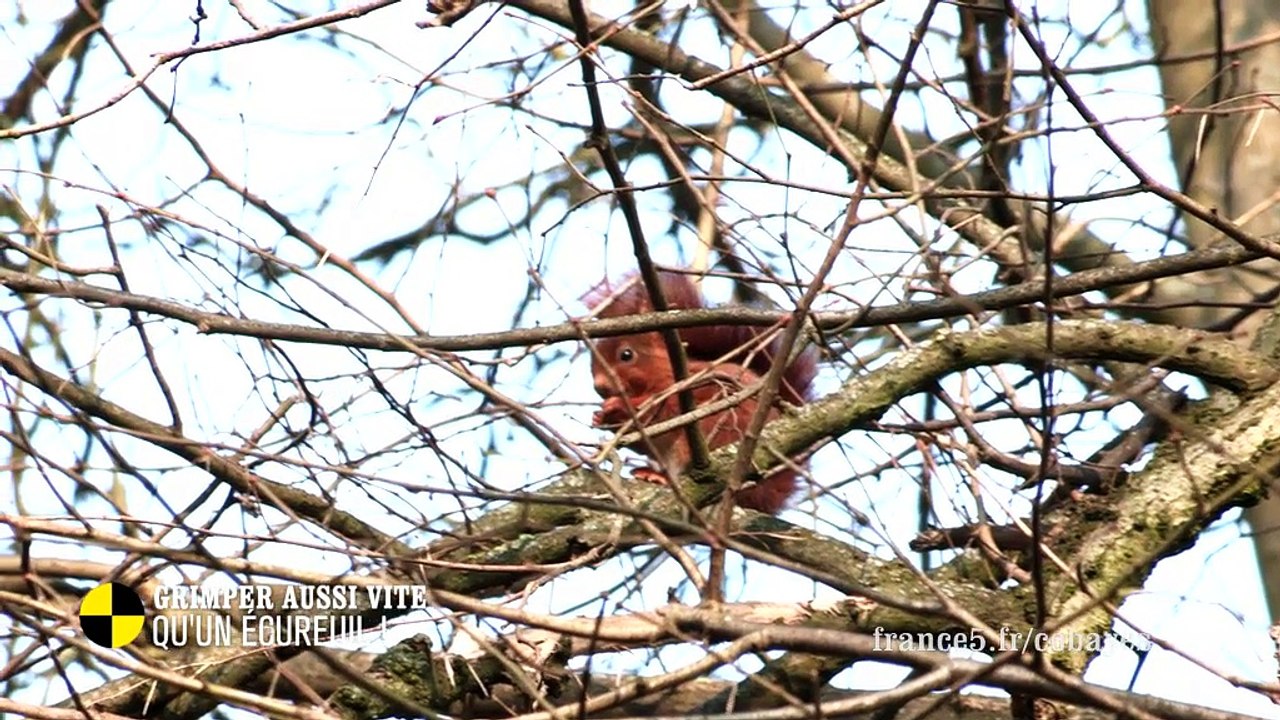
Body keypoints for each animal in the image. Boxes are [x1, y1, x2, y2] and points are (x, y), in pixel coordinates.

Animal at [584, 270, 818, 513]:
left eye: (627, 355)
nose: (599, 386)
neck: (663, 373)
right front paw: (600, 417)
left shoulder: (679, 392)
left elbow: (652, 414)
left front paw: (617, 407)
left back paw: (659, 477)